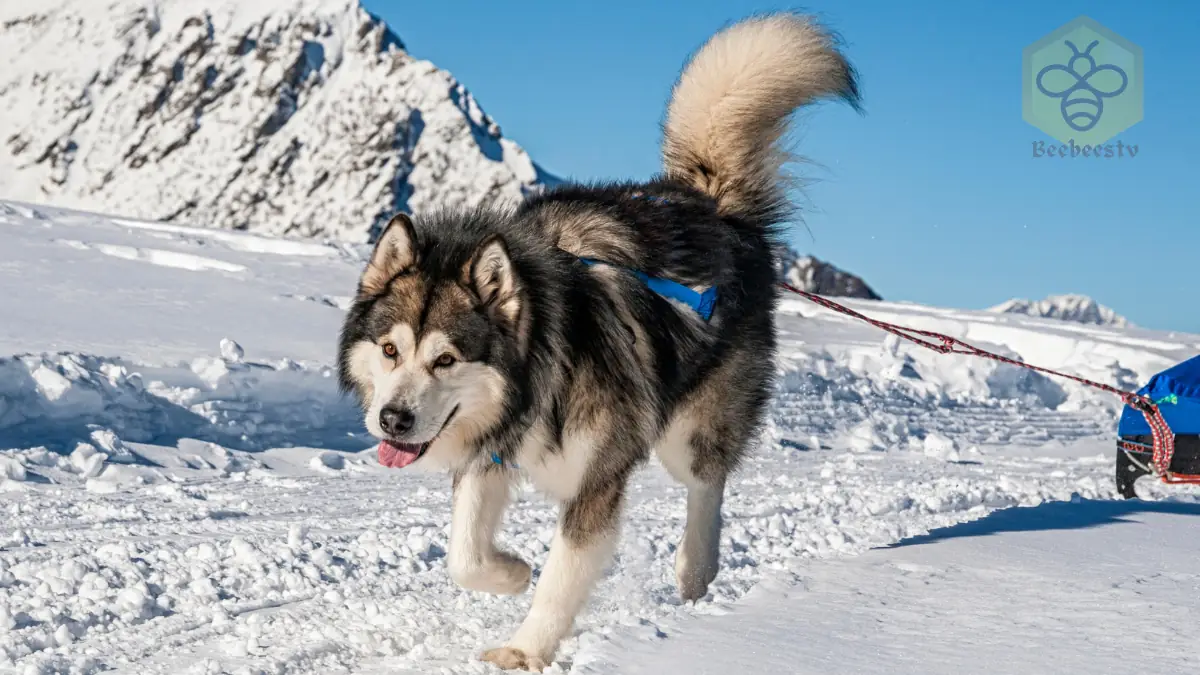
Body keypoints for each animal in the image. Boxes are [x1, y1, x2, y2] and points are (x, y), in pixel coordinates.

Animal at [340, 13, 864, 667]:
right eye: (390, 350)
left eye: (446, 359)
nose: (393, 420)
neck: (544, 367)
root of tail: (715, 208)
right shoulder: (492, 447)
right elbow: (465, 555)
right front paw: (512, 571)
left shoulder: (597, 479)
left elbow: (564, 573)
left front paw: (526, 651)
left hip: (688, 430)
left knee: (707, 483)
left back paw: (695, 570)